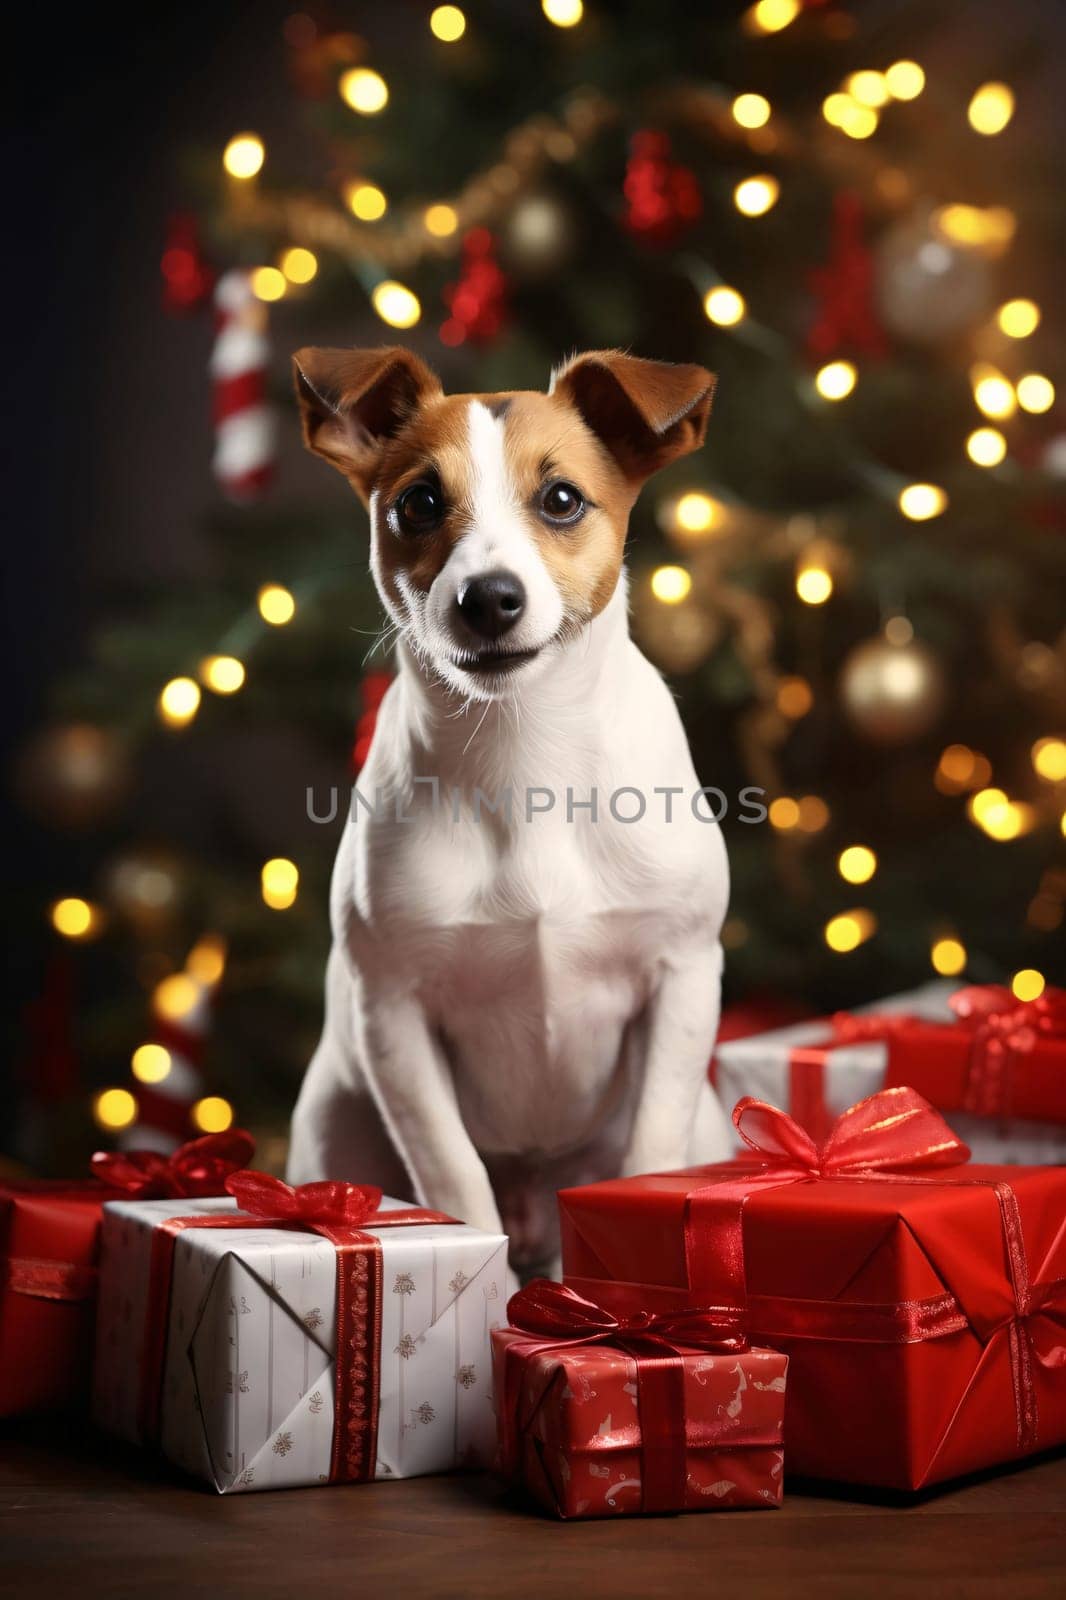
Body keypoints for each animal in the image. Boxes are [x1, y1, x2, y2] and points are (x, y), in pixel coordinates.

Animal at [286, 344, 736, 1267]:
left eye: (561, 499)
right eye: (419, 502)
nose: (488, 597)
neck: (525, 754)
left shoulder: (682, 979)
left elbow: (651, 1145)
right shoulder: (394, 1013)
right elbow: (454, 1177)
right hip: (338, 1123)